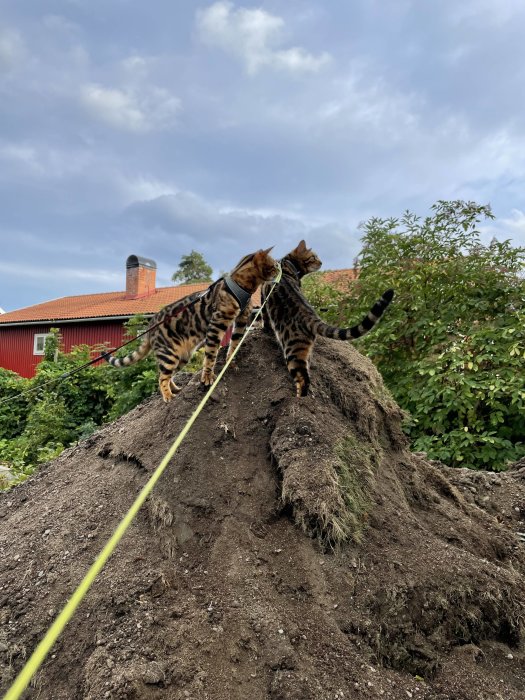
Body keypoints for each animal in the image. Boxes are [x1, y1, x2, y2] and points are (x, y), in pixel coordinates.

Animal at [105, 247, 280, 402]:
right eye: (273, 266)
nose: (279, 271)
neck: (243, 287)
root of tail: (149, 327)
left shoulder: (241, 320)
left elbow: (234, 343)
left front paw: (231, 361)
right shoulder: (217, 324)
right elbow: (211, 355)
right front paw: (208, 377)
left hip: (182, 357)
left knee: (167, 375)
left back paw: (175, 389)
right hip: (169, 354)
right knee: (161, 377)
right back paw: (168, 396)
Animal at [262, 239, 392, 394]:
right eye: (314, 257)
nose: (321, 262)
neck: (286, 263)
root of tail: (310, 316)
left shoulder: (263, 295)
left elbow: (264, 317)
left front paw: (264, 329)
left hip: (292, 351)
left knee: (302, 378)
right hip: (304, 349)